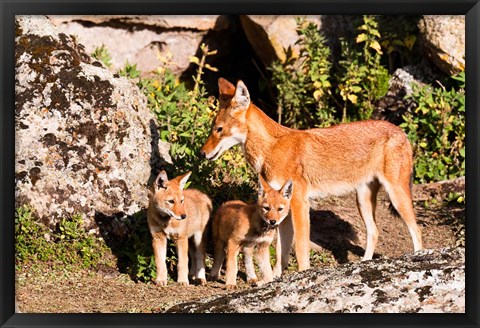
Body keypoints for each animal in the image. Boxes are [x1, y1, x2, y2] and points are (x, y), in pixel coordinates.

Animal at [201, 78, 422, 276]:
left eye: (219, 129)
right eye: (212, 128)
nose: (202, 153)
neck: (272, 149)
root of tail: (401, 131)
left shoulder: (299, 204)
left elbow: (300, 248)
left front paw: (303, 273)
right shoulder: (281, 209)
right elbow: (281, 253)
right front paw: (275, 278)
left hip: (396, 196)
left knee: (417, 232)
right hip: (363, 200)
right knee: (374, 232)